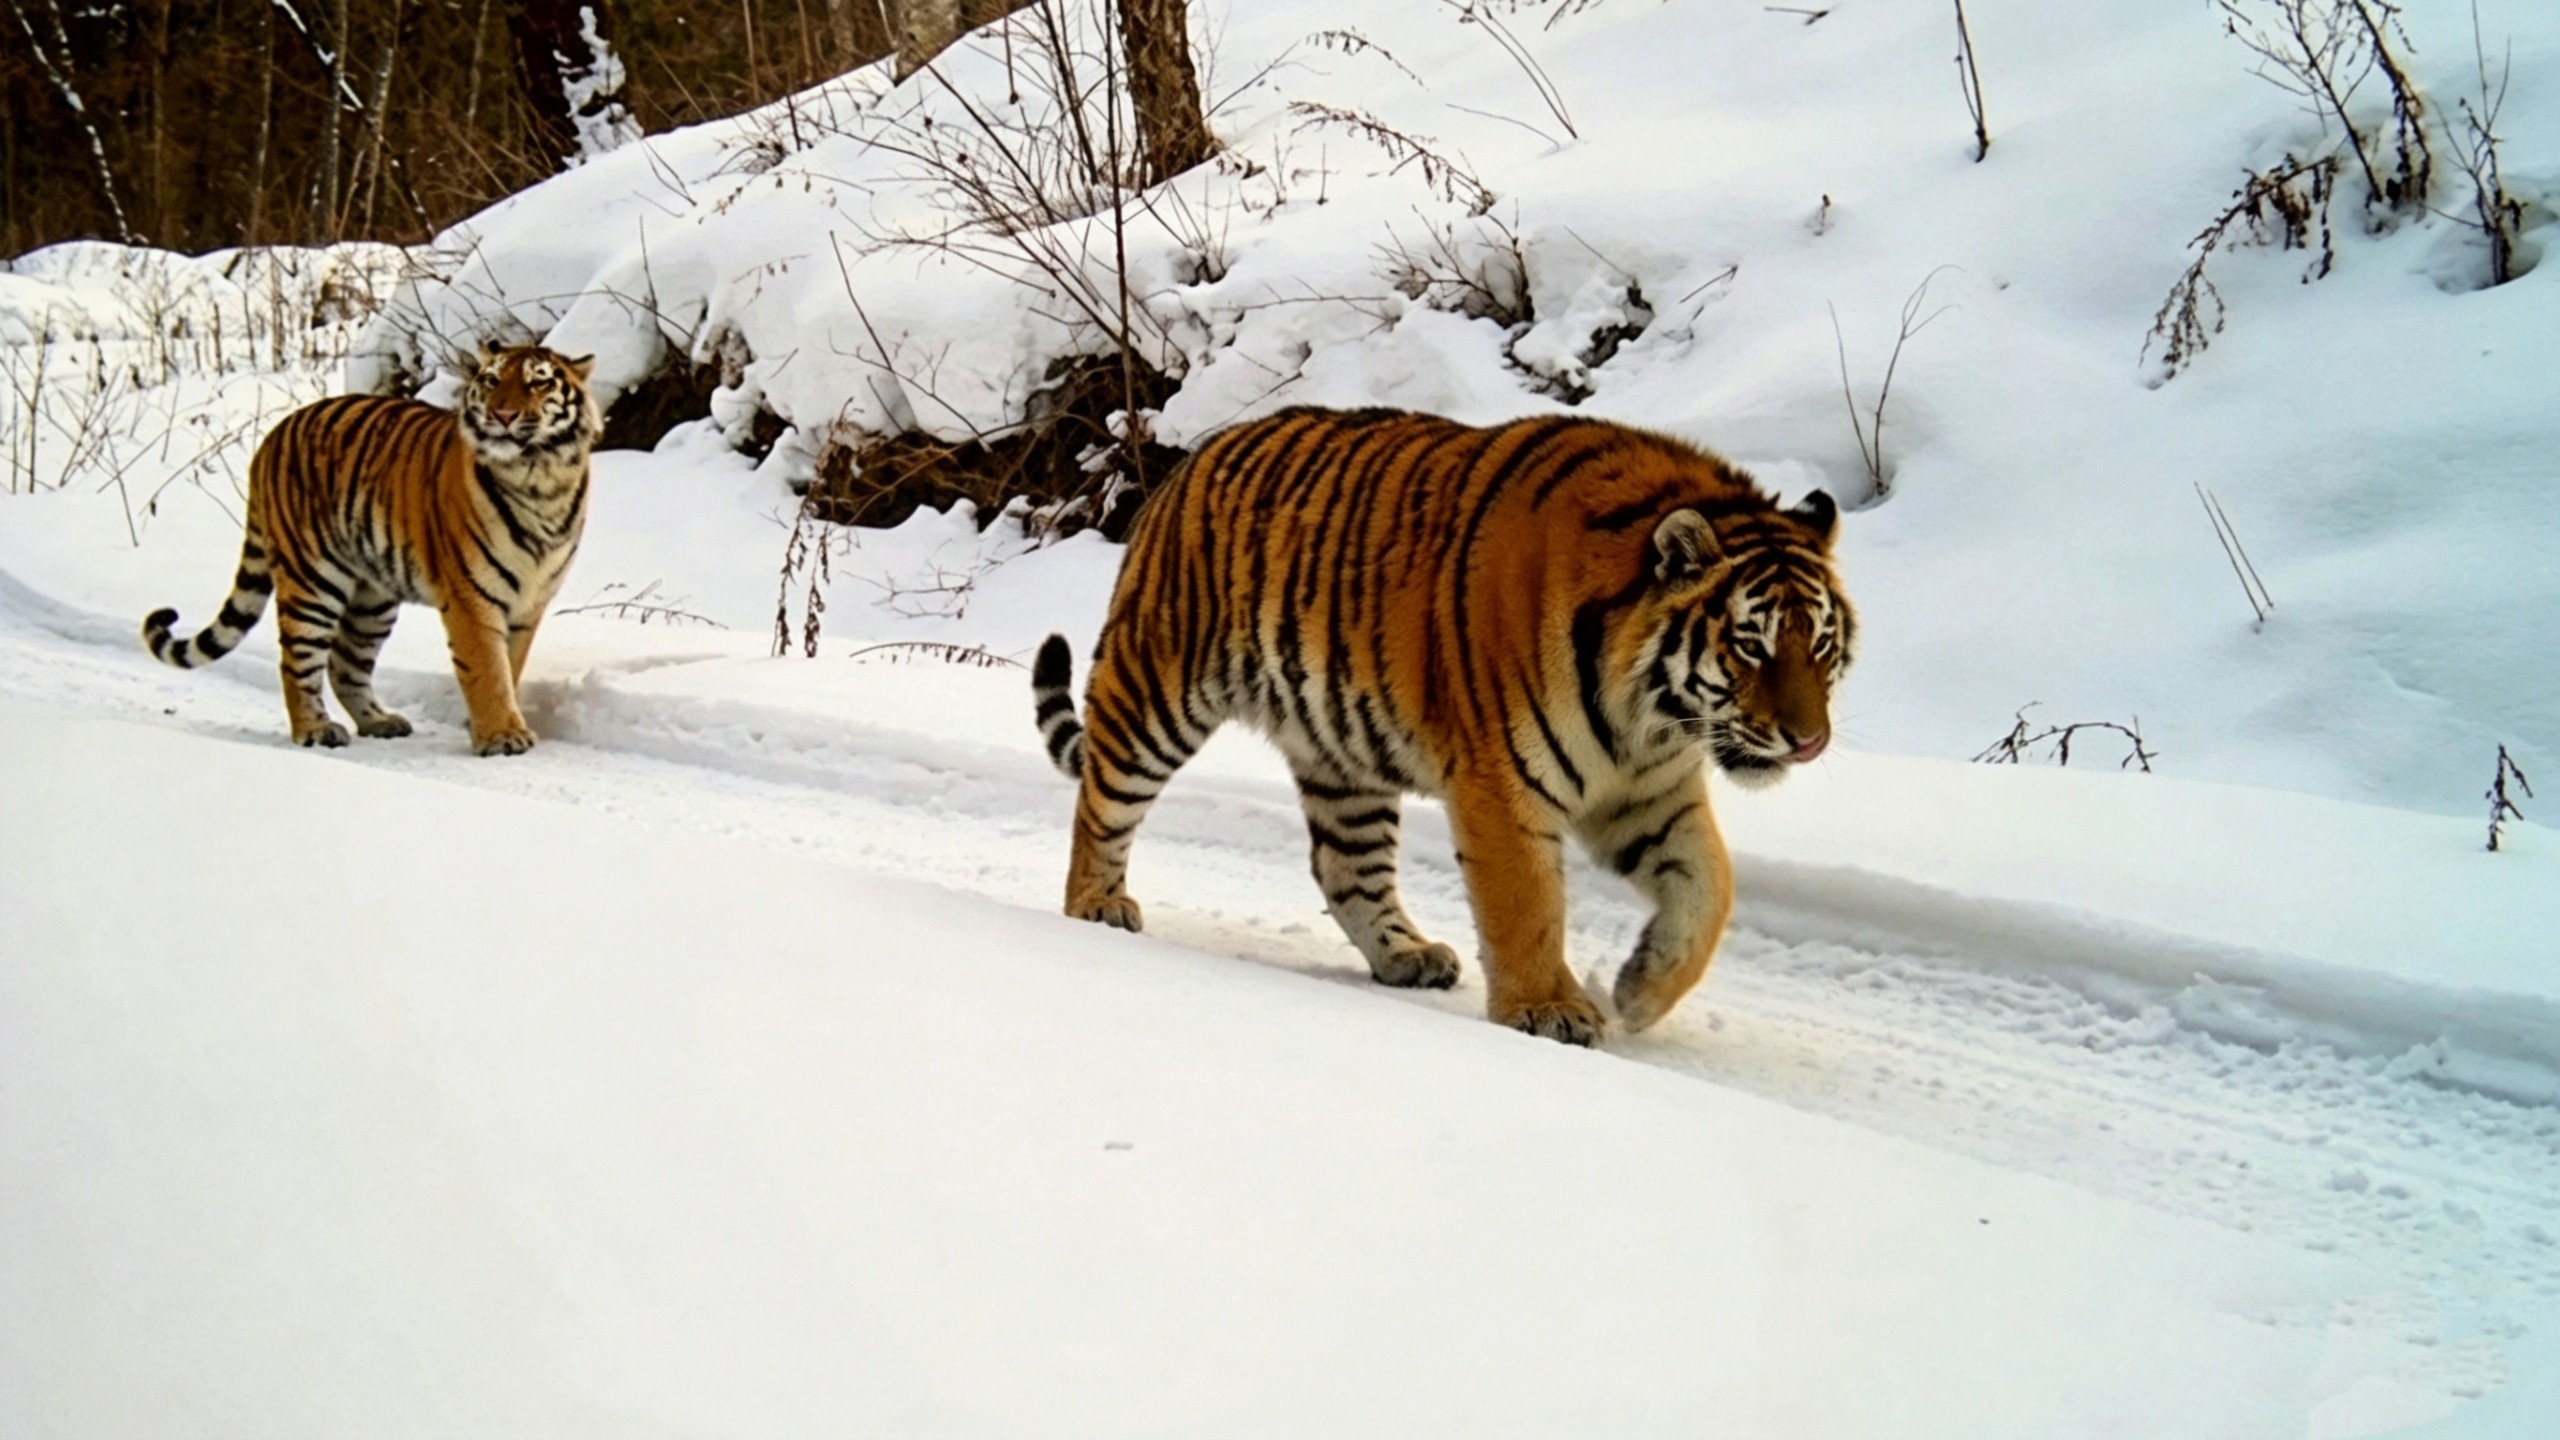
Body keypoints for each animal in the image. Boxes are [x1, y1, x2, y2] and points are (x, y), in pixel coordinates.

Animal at [143, 343, 602, 756]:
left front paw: (492, 727)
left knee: (344, 663)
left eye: (538, 383)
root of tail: (272, 436)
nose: (503, 415)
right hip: (312, 580)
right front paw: (501, 736)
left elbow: (510, 666)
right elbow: (487, 670)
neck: (539, 477)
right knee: (297, 661)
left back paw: (377, 722)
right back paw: (314, 730)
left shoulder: (529, 602)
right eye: (491, 381)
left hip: (372, 597)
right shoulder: (471, 599)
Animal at [1030, 406, 1854, 1045]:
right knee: (1100, 802)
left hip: (1342, 757)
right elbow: (1528, 904)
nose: (1809, 741)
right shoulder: (1503, 782)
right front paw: (1549, 1009)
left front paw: (1642, 993)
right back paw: (1095, 905)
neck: (1650, 717)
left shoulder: (1650, 796)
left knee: (1345, 868)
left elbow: (1709, 889)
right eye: (1751, 645)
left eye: (1820, 645)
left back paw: (1407, 956)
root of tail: (1193, 458)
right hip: (1158, 692)